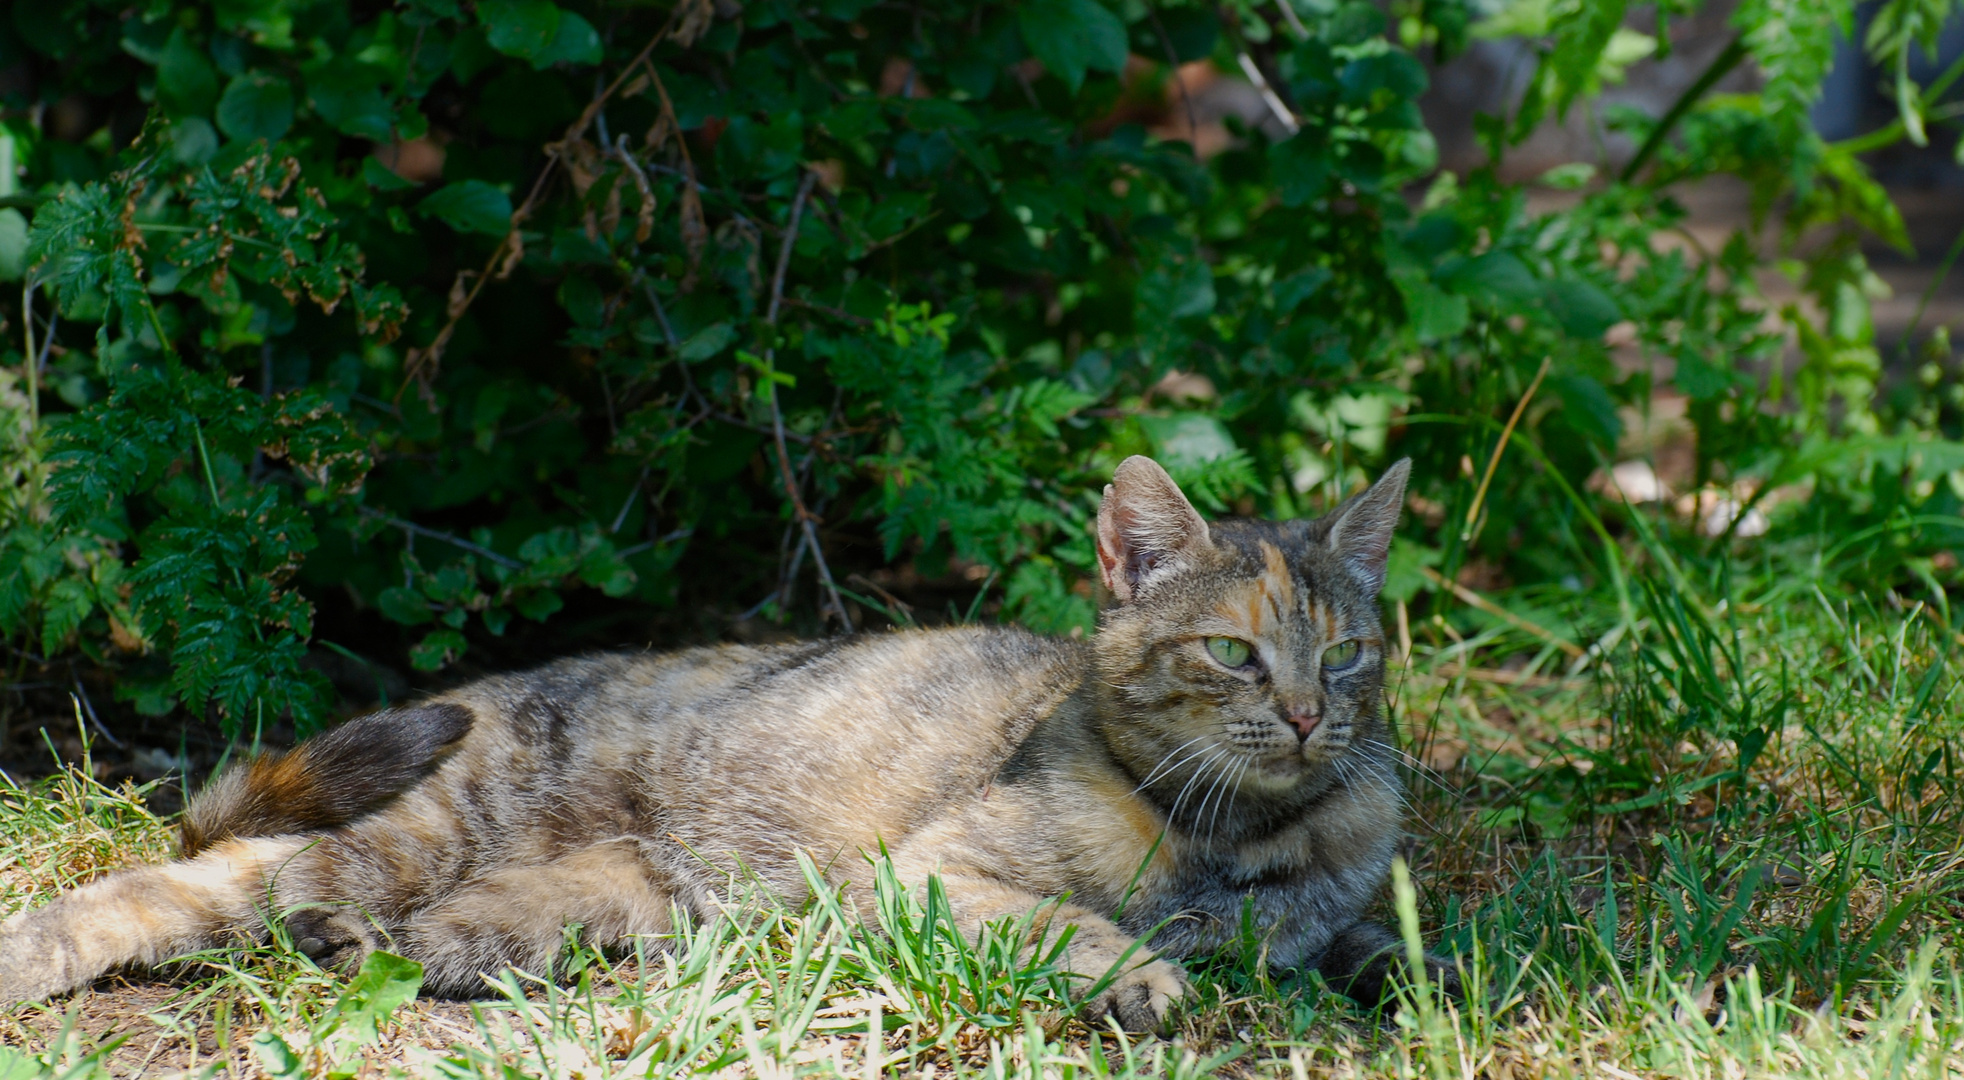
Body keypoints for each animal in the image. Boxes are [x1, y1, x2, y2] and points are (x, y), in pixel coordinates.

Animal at [0, 457, 1445, 1036]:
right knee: (181, 883)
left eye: (1347, 653)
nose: (1310, 715)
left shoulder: (1326, 913)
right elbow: (1076, 925)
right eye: (1233, 655)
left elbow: (1375, 945)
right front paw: (1142, 977)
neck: (1235, 837)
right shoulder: (928, 875)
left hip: (617, 894)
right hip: (405, 828)